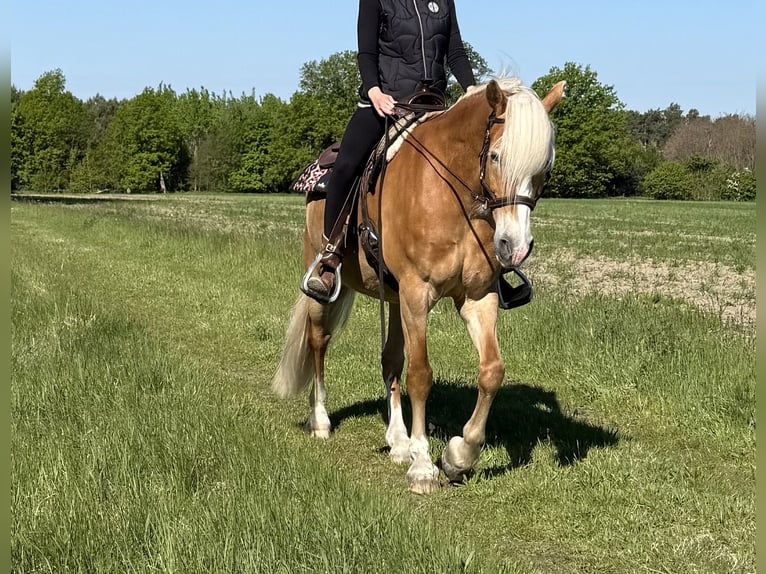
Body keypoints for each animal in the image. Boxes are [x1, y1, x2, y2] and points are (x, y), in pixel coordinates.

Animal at [272, 77, 565, 494]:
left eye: (546, 169)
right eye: (495, 156)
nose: (516, 246)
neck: (451, 197)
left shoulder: (477, 297)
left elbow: (491, 371)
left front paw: (458, 457)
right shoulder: (417, 292)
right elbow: (421, 375)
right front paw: (424, 465)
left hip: (395, 300)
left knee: (390, 358)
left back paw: (398, 441)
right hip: (323, 283)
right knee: (318, 342)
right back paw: (322, 421)